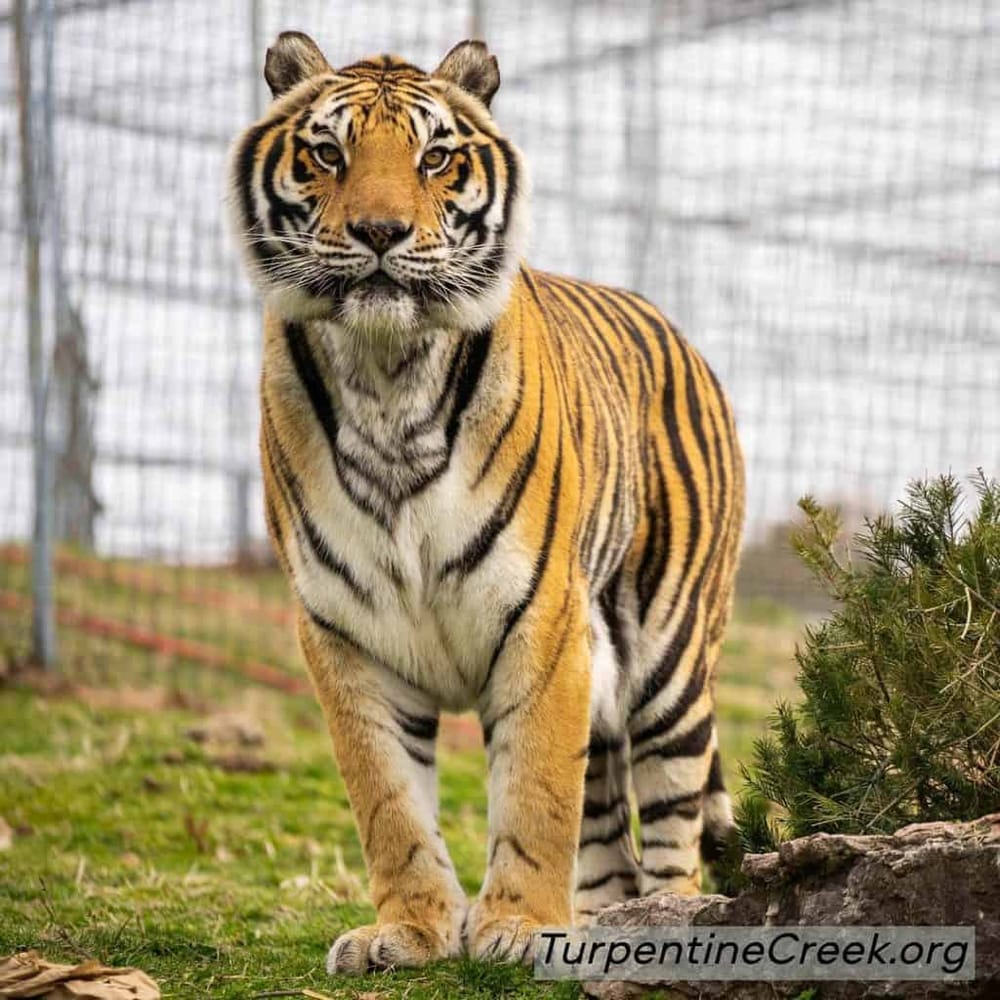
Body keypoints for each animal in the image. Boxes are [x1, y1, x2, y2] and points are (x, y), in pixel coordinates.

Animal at [228, 32, 744, 975]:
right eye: (328, 154)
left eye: (435, 157)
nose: (380, 232)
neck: (386, 375)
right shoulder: (344, 632)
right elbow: (389, 803)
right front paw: (409, 932)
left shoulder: (543, 617)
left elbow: (536, 791)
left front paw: (519, 926)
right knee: (608, 828)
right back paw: (604, 924)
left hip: (669, 657)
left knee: (671, 823)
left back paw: (663, 923)